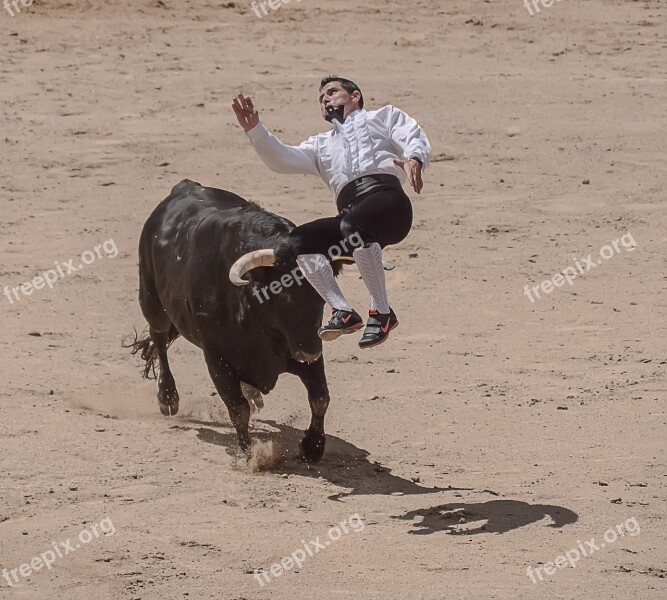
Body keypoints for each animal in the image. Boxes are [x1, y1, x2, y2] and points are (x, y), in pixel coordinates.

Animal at [125, 180, 348, 462]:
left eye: (322, 294)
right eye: (283, 293)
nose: (309, 351)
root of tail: (184, 186)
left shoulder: (303, 350)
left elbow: (320, 397)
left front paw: (313, 447)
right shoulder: (217, 358)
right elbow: (237, 407)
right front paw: (250, 455)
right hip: (152, 300)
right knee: (159, 337)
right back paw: (168, 397)